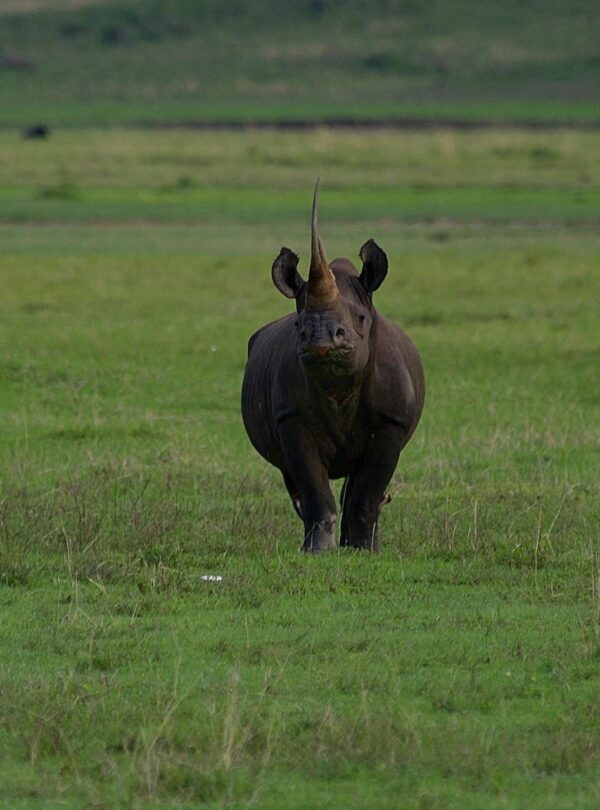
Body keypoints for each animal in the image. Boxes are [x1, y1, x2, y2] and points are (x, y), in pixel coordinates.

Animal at [241, 181, 424, 551]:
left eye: (361, 319)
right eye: (299, 324)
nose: (321, 337)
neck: (339, 385)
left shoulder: (392, 422)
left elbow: (367, 493)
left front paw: (364, 550)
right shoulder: (291, 418)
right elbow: (314, 490)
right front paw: (317, 551)